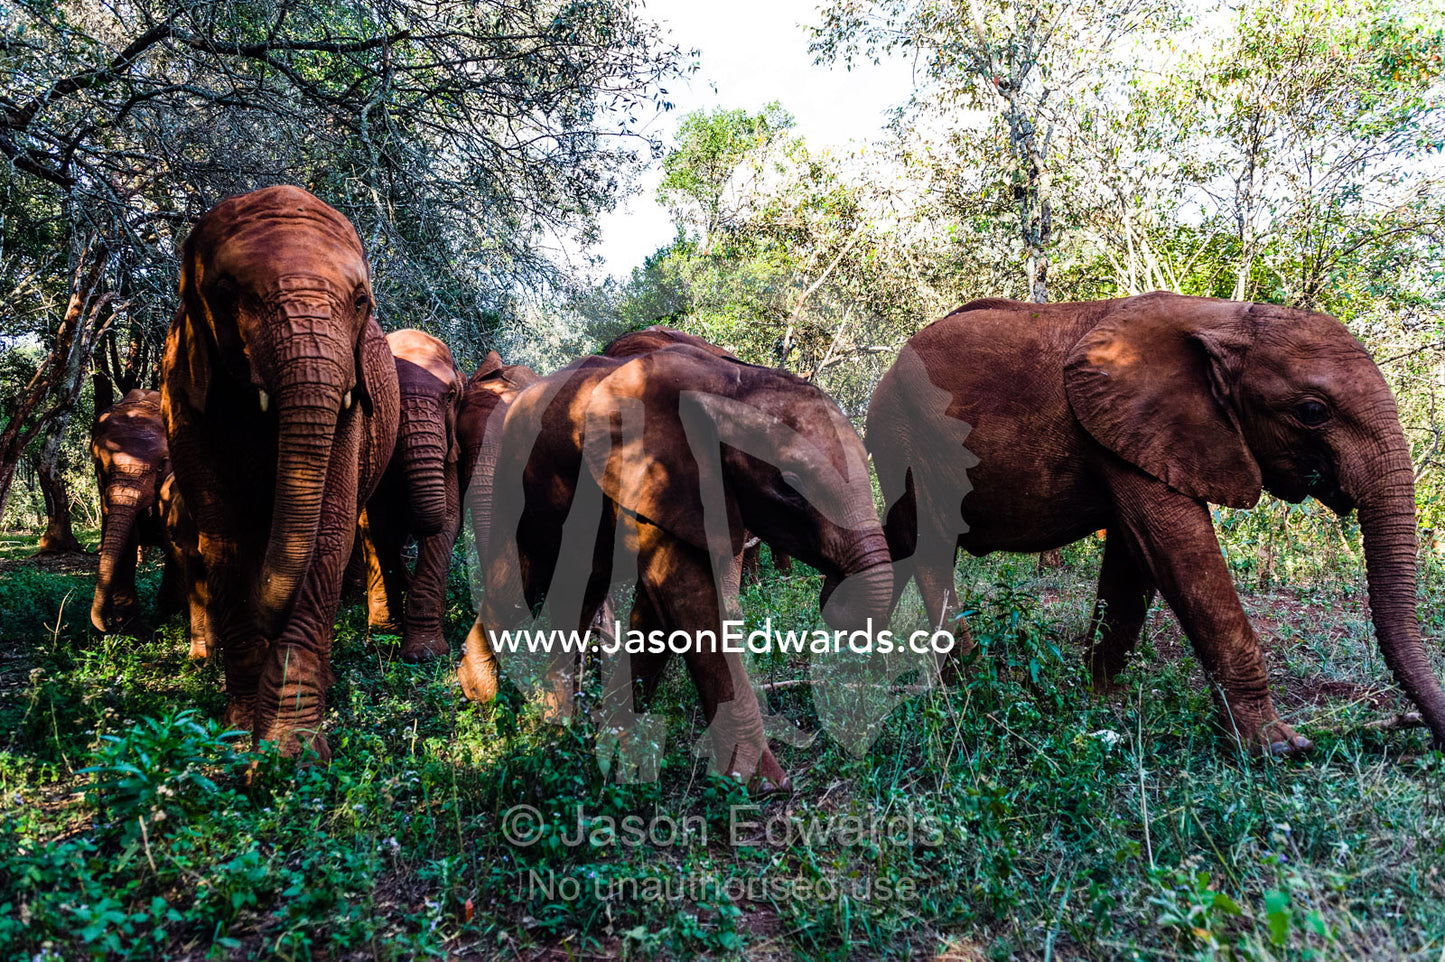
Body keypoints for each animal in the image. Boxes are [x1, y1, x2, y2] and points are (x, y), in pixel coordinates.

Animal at [160, 185, 400, 759]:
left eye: (360, 302)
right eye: (226, 295)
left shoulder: (349, 403)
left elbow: (329, 535)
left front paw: (291, 751)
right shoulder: (183, 394)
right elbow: (222, 537)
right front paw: (240, 733)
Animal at [457, 339, 894, 791]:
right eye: (789, 485)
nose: (833, 587)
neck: (730, 382)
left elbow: (663, 606)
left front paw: (619, 739)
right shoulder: (651, 474)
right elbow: (688, 598)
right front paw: (764, 785)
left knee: (576, 587)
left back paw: (555, 722)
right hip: (511, 478)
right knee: (521, 580)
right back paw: (488, 697)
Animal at [867, 291, 1445, 755]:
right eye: (1311, 411)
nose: (1423, 733)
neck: (1226, 320)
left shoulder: (1140, 437)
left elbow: (1134, 558)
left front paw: (1100, 698)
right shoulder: (1130, 426)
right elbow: (1176, 549)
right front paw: (1276, 748)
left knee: (897, 540)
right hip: (909, 437)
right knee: (930, 546)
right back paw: (965, 681)